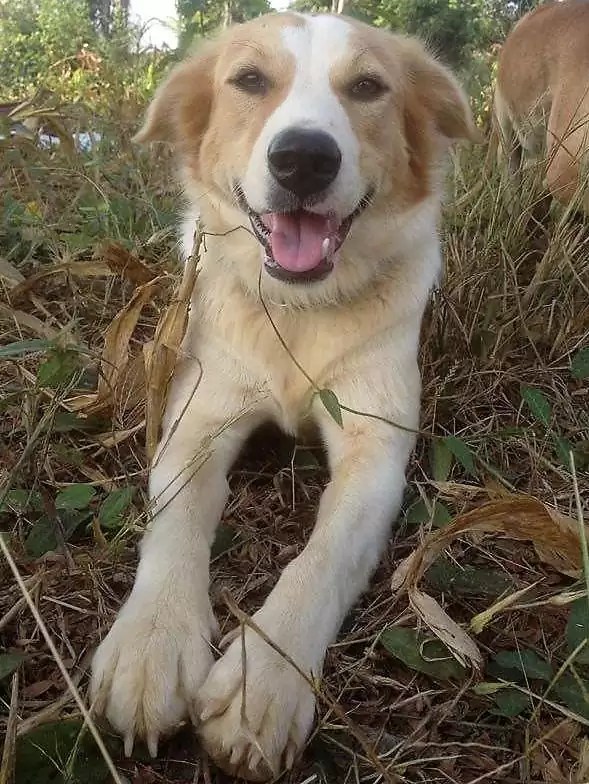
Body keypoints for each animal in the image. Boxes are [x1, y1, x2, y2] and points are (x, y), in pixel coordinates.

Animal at [90, 10, 478, 776]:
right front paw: (153, 640)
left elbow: (321, 557)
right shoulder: (196, 417)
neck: (300, 312)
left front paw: (262, 679)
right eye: (248, 80)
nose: (303, 159)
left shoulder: (376, 449)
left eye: (367, 86)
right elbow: (176, 521)